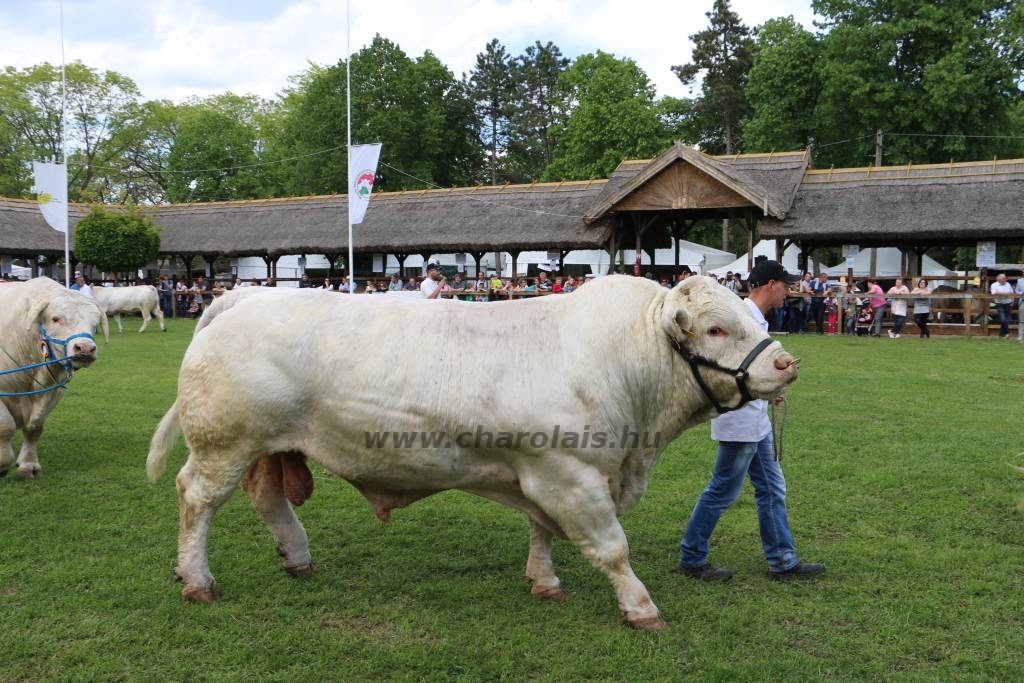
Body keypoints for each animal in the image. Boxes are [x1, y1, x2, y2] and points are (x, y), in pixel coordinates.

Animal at [0, 276, 105, 475]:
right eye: (56, 318)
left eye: (95, 324)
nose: (85, 348)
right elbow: (6, 426)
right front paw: (2, 463)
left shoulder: (54, 393)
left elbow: (35, 429)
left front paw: (28, 464)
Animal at [146, 276, 798, 630]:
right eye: (715, 329)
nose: (787, 363)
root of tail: (243, 298)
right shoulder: (571, 474)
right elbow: (612, 548)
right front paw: (641, 608)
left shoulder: (544, 471)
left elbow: (542, 531)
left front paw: (544, 581)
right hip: (223, 443)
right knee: (197, 500)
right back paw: (197, 579)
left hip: (266, 446)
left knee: (267, 499)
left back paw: (297, 556)